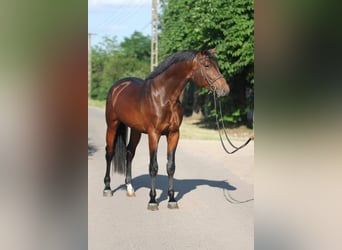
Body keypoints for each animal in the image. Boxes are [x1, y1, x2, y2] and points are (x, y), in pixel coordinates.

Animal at [103, 47, 228, 210]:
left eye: (217, 64)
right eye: (207, 65)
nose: (225, 90)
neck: (164, 97)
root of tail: (117, 87)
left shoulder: (174, 134)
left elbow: (170, 166)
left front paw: (172, 199)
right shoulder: (153, 134)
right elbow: (153, 167)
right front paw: (152, 200)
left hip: (136, 130)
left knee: (129, 153)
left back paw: (130, 188)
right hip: (112, 125)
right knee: (109, 153)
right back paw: (107, 188)